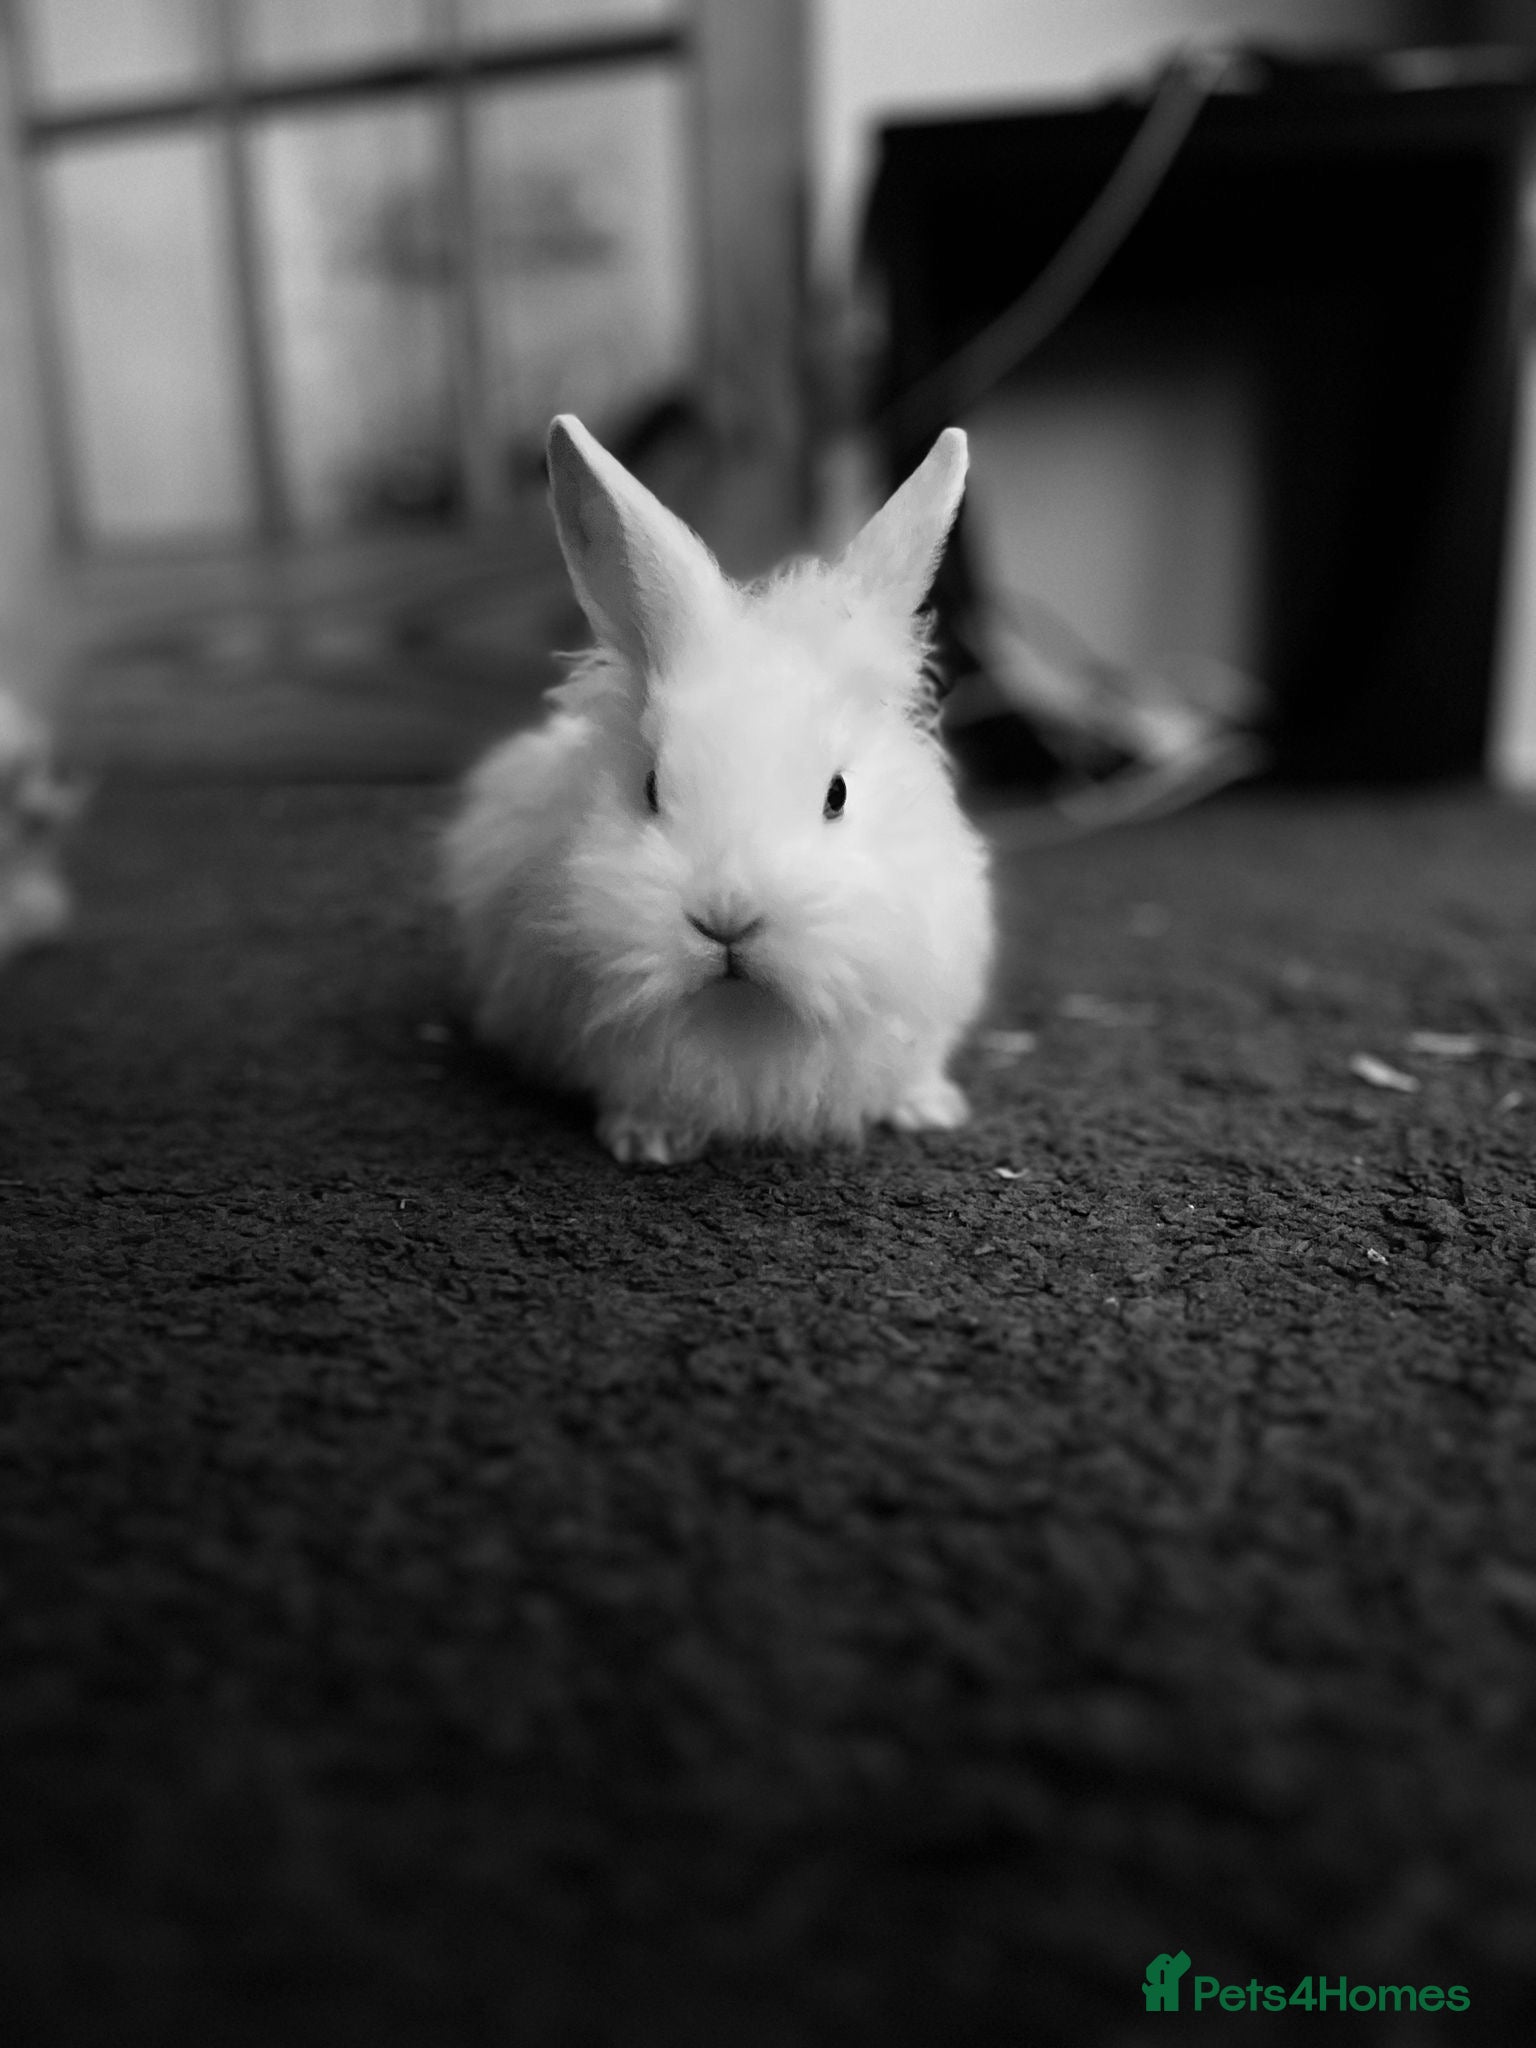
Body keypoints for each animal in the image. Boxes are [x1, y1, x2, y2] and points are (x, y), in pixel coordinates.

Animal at [440, 413, 994, 1166]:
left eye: (838, 794)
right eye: (651, 787)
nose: (726, 917)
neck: (743, 1016)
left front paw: (931, 1111)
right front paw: (645, 1143)